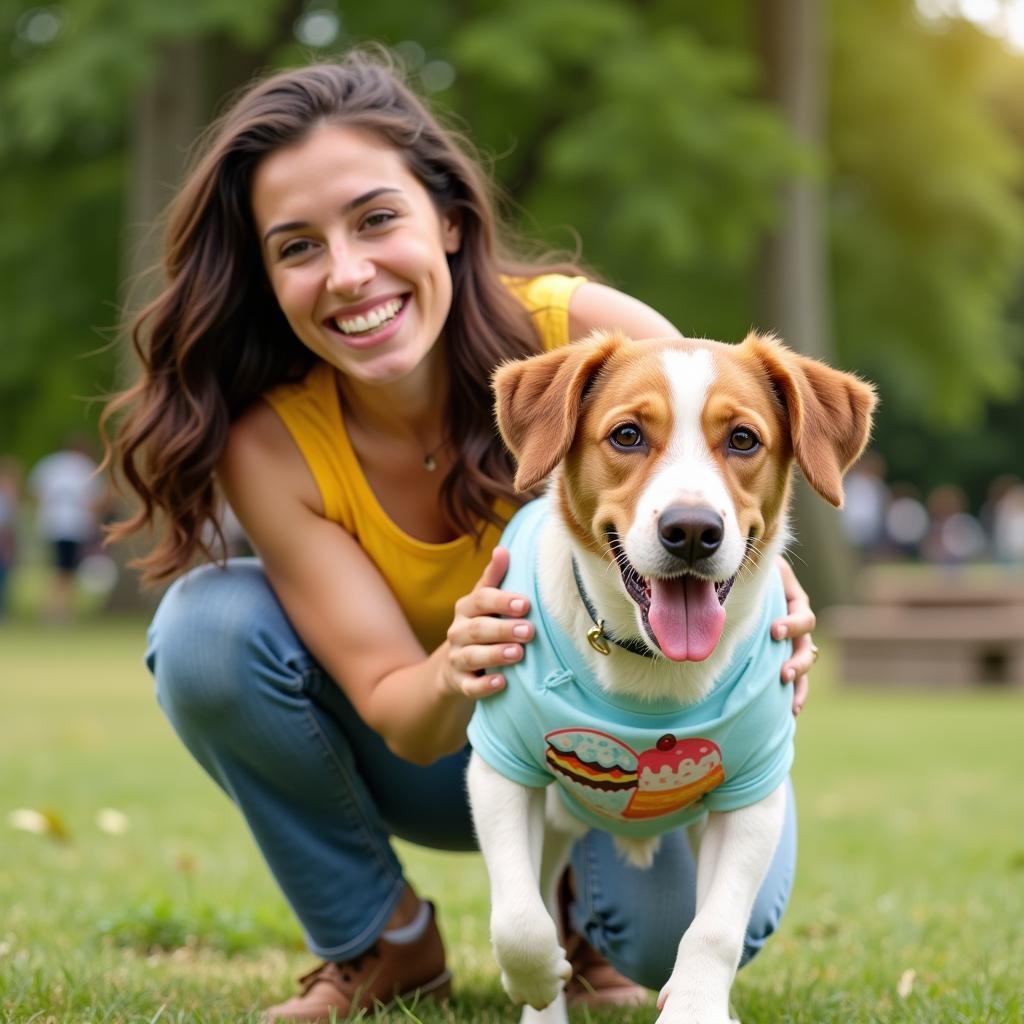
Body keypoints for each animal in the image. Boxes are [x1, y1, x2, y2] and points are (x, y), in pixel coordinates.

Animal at [468, 331, 876, 1024]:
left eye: (743, 439)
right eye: (628, 435)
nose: (691, 529)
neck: (652, 668)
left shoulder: (752, 795)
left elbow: (713, 929)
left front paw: (696, 1008)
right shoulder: (500, 768)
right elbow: (520, 920)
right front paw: (538, 980)